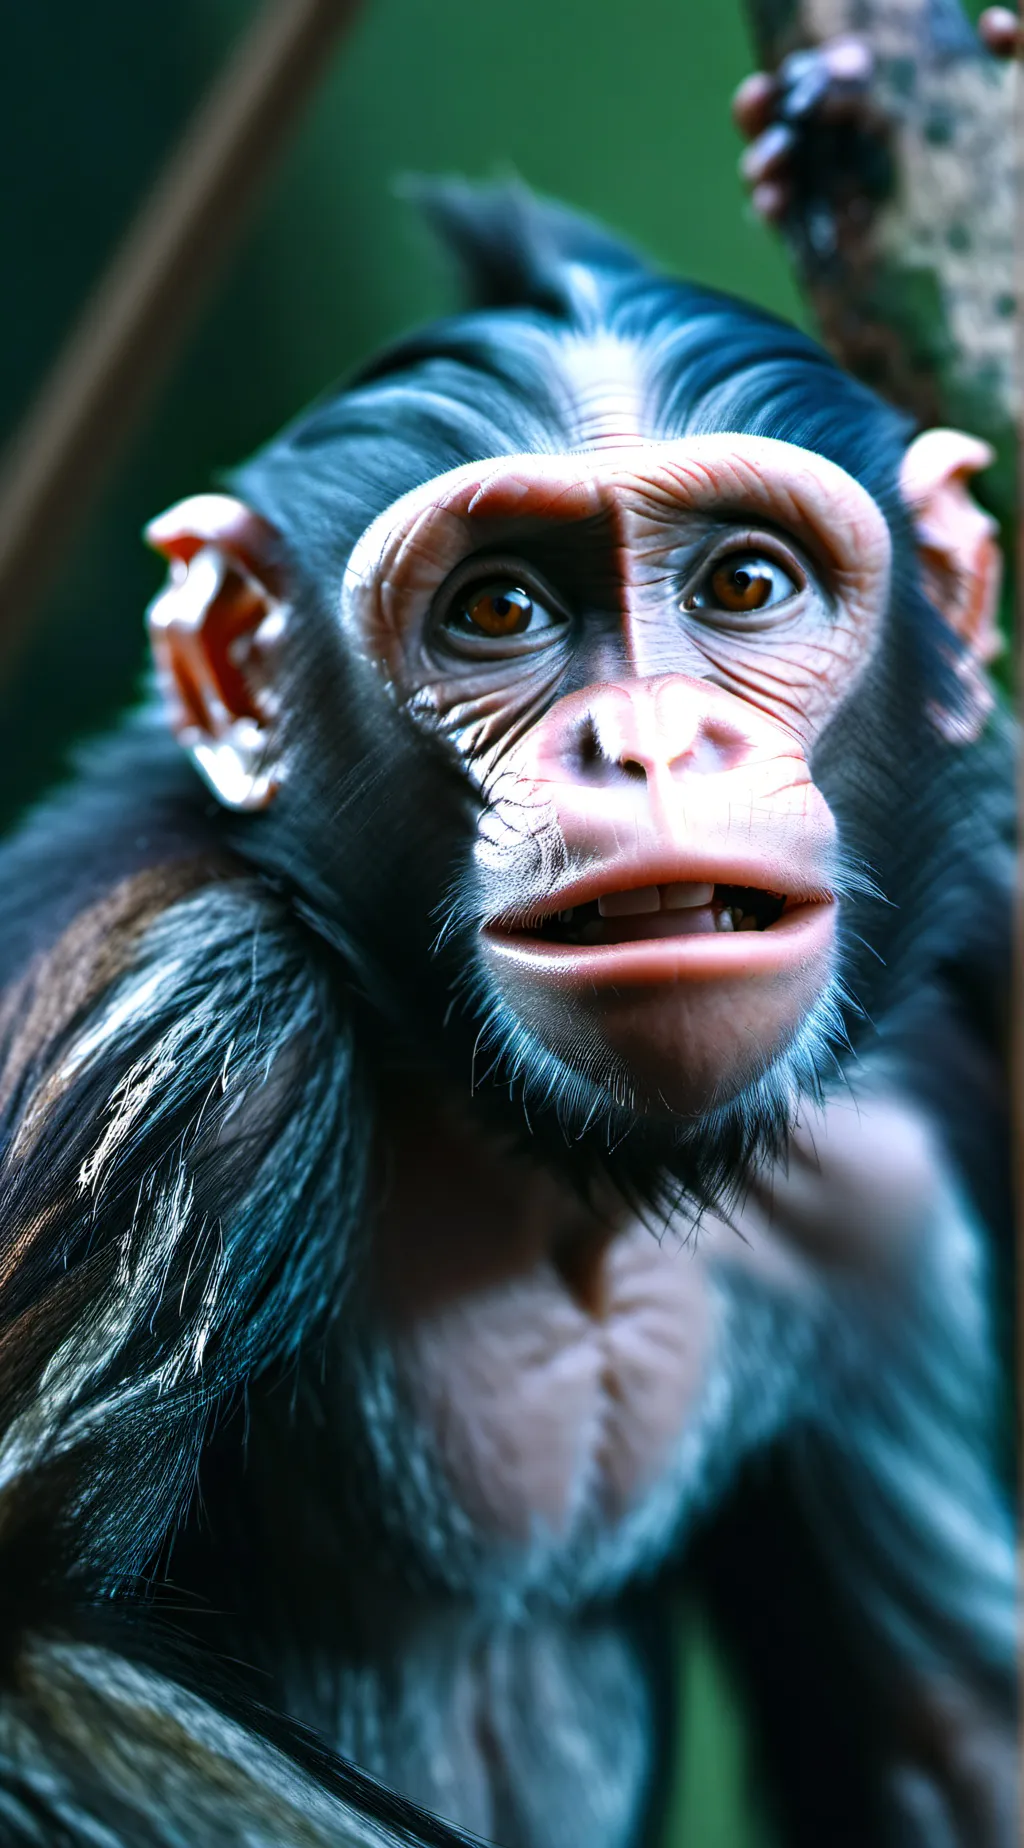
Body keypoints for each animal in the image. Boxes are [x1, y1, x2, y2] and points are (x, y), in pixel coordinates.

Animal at [0, 187, 1015, 1848]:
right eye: (499, 610)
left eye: (746, 584)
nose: (649, 741)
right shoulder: (177, 1031)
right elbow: (36, 1655)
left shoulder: (892, 1201)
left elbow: (949, 1733)